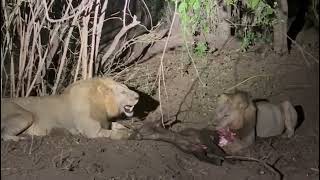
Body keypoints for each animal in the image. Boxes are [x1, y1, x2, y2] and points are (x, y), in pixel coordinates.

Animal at [0, 76, 139, 141]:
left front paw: (130, 129)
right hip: (25, 115)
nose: (138, 96)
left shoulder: (106, 122)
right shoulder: (92, 131)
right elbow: (115, 133)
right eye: (123, 92)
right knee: (4, 134)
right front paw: (131, 134)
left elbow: (119, 126)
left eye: (127, 88)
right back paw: (18, 138)